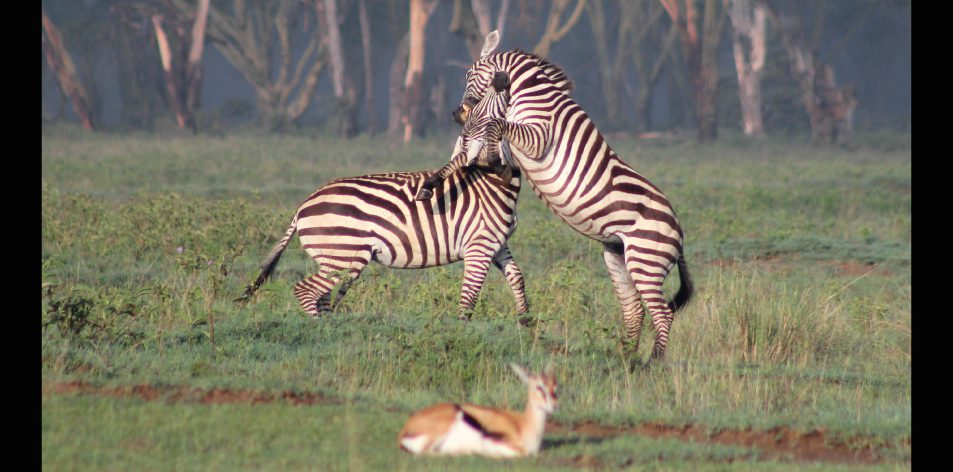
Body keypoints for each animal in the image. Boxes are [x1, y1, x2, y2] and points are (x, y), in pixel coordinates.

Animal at [234, 83, 524, 322]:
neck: (495, 185)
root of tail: (303, 206)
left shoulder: (498, 244)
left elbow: (517, 279)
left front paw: (526, 323)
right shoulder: (479, 245)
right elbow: (470, 294)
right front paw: (462, 329)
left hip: (331, 257)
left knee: (321, 296)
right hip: (343, 255)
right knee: (306, 290)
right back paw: (321, 333)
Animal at [420, 31, 696, 360]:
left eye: (468, 74)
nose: (455, 114)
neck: (529, 95)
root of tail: (679, 231)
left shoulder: (539, 137)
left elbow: (496, 126)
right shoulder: (510, 144)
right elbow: (472, 152)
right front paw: (434, 181)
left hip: (646, 259)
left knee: (662, 313)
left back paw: (652, 362)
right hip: (618, 257)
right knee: (635, 310)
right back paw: (627, 359)